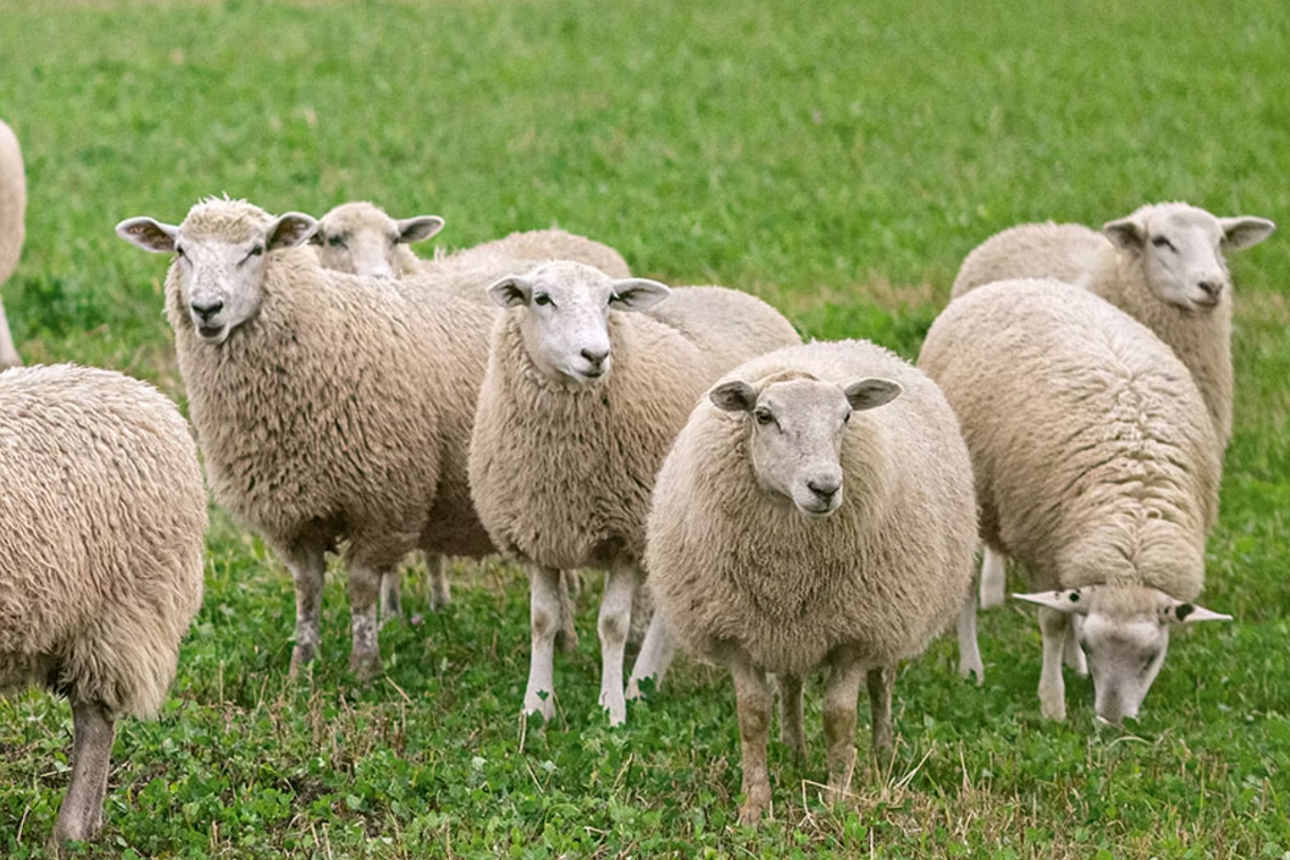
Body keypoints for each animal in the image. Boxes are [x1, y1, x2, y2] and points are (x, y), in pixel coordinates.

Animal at [116, 197, 498, 680]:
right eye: (181, 251)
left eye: (257, 250)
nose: (206, 308)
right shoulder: (291, 511)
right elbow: (307, 588)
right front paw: (302, 665)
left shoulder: (385, 501)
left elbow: (361, 587)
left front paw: (364, 668)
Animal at [468, 260, 801, 725]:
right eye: (542, 298)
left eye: (610, 300)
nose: (596, 356)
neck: (562, 465)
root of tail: (739, 294)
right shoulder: (537, 533)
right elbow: (543, 620)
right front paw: (536, 706)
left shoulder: (626, 534)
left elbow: (613, 624)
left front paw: (612, 710)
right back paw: (645, 682)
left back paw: (644, 683)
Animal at [646, 339, 976, 825]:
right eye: (763, 416)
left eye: (847, 417)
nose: (825, 487)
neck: (790, 562)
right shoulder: (737, 633)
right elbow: (752, 718)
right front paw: (754, 805)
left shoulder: (856, 634)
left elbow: (840, 718)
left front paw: (838, 799)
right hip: (787, 629)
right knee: (790, 683)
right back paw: (794, 750)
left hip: (891, 613)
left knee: (882, 682)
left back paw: (881, 751)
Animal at [919, 278, 1231, 724]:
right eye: (1091, 645)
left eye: (1152, 657)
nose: (1112, 721)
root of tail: (1014, 282)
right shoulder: (1041, 546)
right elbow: (1052, 621)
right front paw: (1052, 702)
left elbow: (1070, 609)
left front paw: (1071, 667)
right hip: (967, 499)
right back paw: (971, 667)